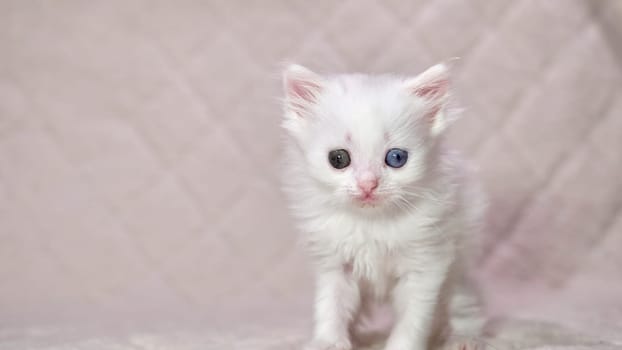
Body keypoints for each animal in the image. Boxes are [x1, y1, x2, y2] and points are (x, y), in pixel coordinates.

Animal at [282, 63, 488, 350]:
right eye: (338, 159)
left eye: (396, 158)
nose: (368, 184)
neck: (371, 223)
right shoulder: (335, 265)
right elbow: (331, 306)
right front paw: (329, 342)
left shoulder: (425, 263)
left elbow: (413, 319)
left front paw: (402, 346)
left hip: (459, 264)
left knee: (464, 303)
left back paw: (464, 338)